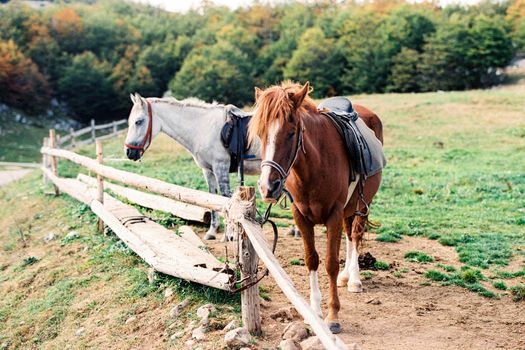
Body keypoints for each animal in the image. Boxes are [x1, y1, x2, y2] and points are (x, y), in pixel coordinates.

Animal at [248, 81, 382, 334]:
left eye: (291, 133)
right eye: (261, 134)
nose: (267, 187)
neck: (314, 166)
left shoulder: (334, 215)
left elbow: (330, 263)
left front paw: (333, 316)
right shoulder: (300, 216)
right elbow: (311, 259)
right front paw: (315, 312)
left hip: (362, 204)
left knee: (356, 235)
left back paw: (354, 280)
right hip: (349, 208)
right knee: (349, 235)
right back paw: (346, 277)